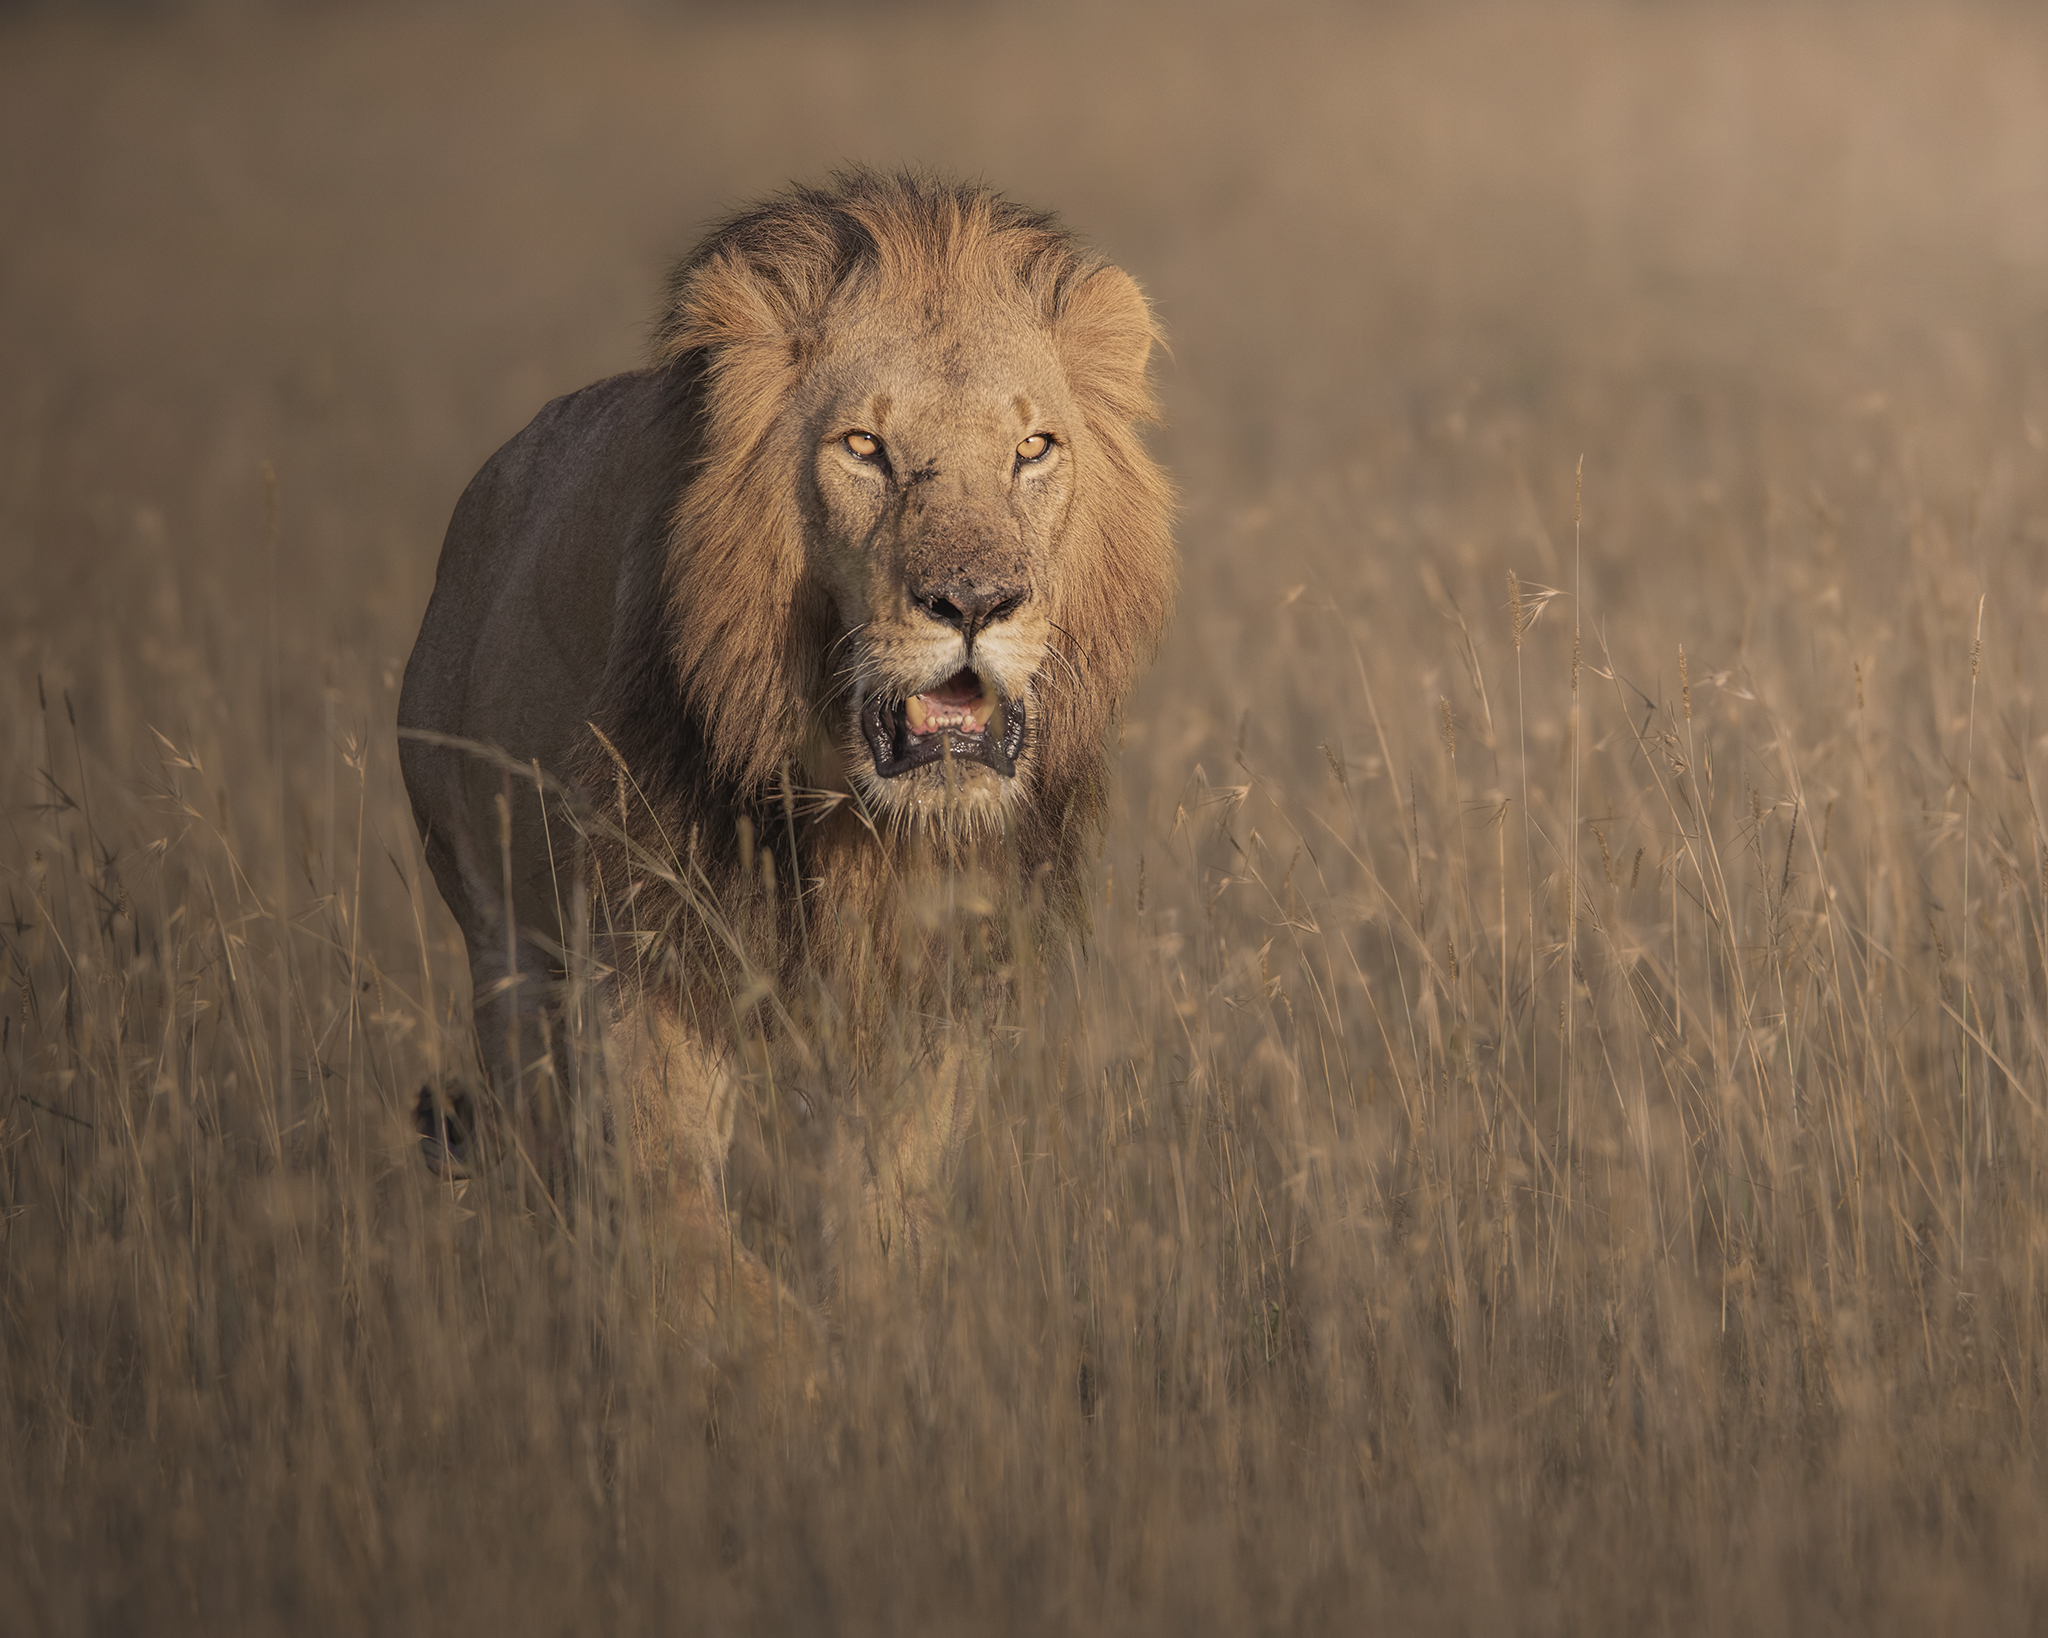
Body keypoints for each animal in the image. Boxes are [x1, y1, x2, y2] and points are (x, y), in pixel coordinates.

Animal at [397, 169, 1174, 1353]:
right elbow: (696, 1250)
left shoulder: (920, 1009)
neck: (852, 813)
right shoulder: (649, 975)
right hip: (503, 942)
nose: (976, 603)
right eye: (863, 448)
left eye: (1034, 449)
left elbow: (876, 1236)